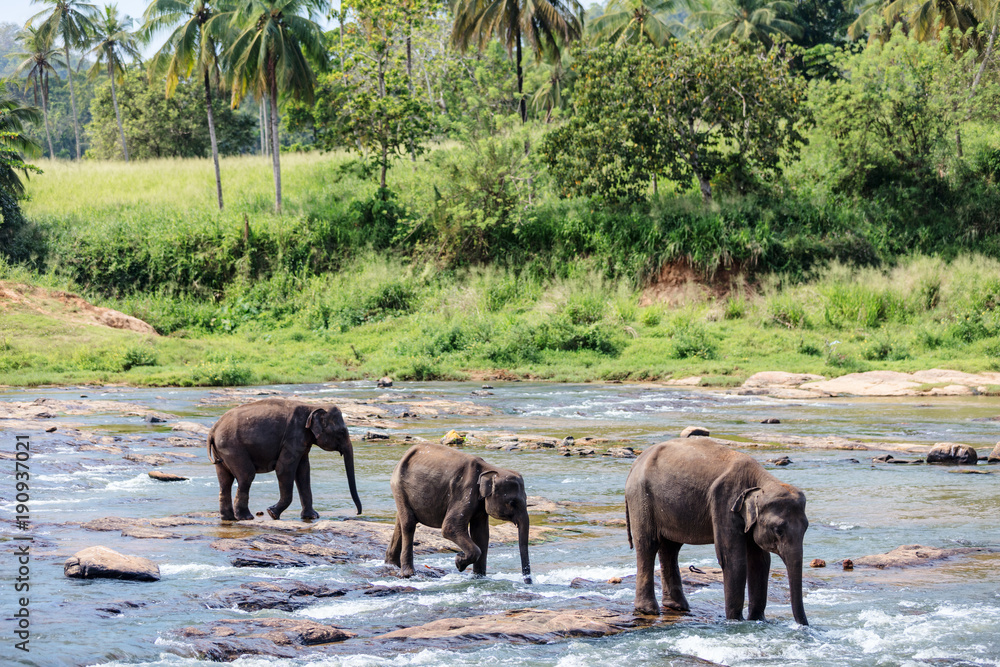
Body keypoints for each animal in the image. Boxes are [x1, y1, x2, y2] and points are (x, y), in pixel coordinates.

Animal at [207, 398, 362, 521]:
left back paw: (228, 518)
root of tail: (213, 430)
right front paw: (272, 513)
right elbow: (284, 469)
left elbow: (303, 472)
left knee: (225, 481)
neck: (312, 406)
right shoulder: (293, 437)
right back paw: (246, 517)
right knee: (246, 476)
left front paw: (312, 516)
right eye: (341, 432)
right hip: (233, 447)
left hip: (222, 451)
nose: (357, 513)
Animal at [385, 443, 532, 583]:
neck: (489, 469)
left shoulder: (480, 504)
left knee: (400, 522)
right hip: (399, 486)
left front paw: (479, 578)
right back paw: (408, 574)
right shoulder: (465, 492)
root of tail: (406, 454)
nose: (528, 582)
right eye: (512, 502)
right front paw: (459, 563)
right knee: (409, 524)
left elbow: (481, 535)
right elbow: (450, 528)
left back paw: (391, 565)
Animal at [624, 437, 809, 625]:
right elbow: (732, 559)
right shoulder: (725, 501)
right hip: (641, 498)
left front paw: (757, 620)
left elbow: (760, 560)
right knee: (648, 545)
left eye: (806, 528)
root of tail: (635, 464)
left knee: (670, 548)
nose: (803, 625)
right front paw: (736, 621)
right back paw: (648, 610)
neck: (760, 480)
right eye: (778, 530)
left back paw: (678, 606)